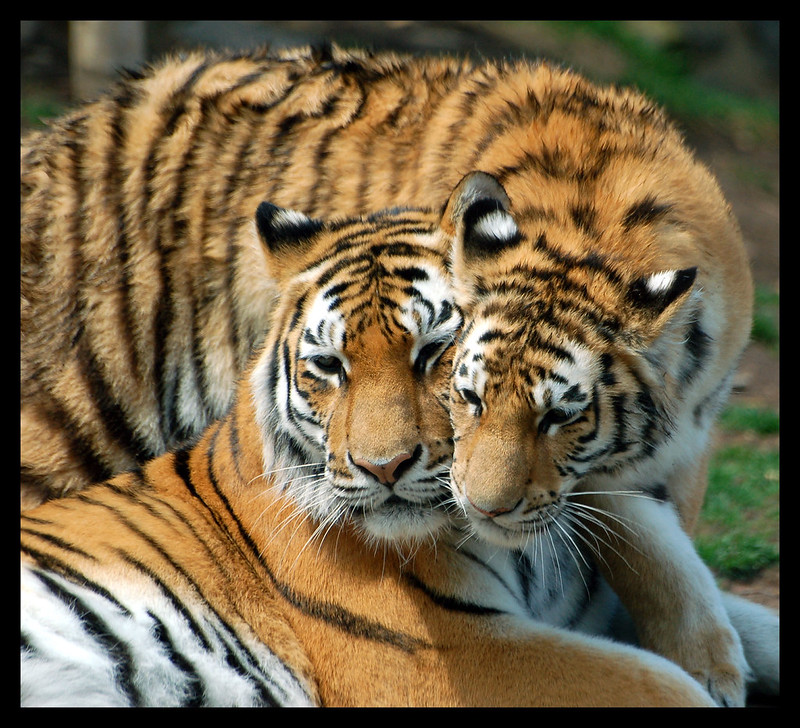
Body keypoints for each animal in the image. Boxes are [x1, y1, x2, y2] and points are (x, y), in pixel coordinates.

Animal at [20, 44, 777, 704]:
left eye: (433, 353)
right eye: (329, 366)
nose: (382, 469)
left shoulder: (679, 449)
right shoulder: (460, 653)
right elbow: (662, 658)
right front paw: (707, 661)